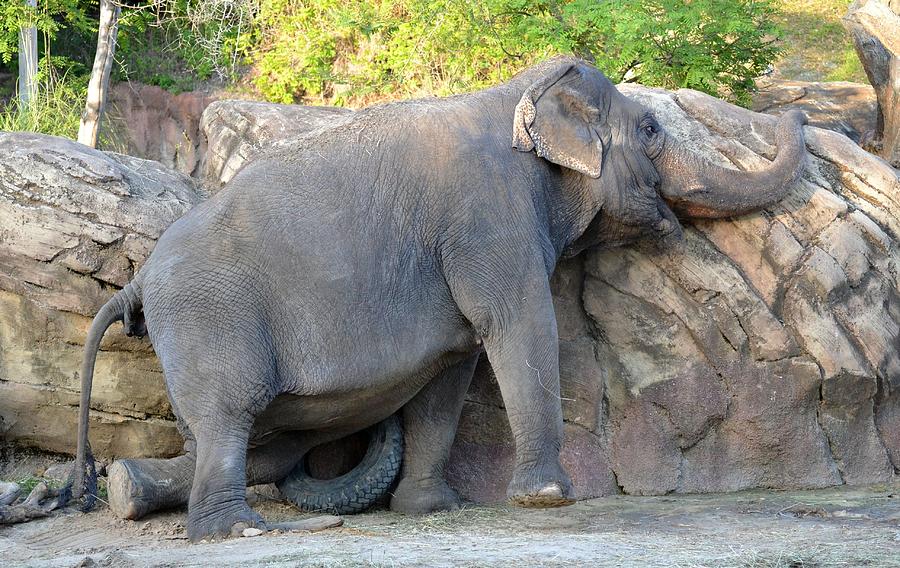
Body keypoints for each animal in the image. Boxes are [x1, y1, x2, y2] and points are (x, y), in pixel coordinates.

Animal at [72, 56, 808, 540]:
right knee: (230, 414)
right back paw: (236, 531)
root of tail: (139, 277)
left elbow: (451, 374)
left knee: (262, 443)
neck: (516, 95)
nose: (798, 111)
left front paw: (433, 509)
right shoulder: (488, 217)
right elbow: (518, 324)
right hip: (209, 316)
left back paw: (128, 488)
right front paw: (547, 499)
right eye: (652, 131)